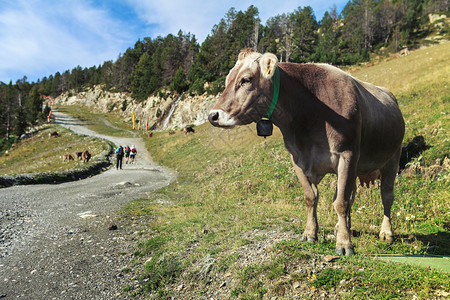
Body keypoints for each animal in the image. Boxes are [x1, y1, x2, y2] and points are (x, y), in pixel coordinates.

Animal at [209, 49, 406, 255]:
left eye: (245, 80)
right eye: (227, 80)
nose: (213, 115)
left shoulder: (347, 154)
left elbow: (341, 203)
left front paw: (344, 244)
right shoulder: (298, 159)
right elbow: (312, 197)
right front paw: (310, 233)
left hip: (392, 158)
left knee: (386, 195)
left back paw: (386, 233)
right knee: (351, 195)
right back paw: (341, 227)